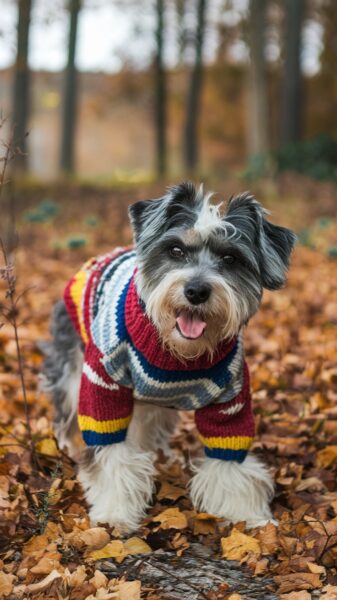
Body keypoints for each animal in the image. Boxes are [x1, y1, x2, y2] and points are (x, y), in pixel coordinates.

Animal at [41, 182, 294, 528]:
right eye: (176, 250)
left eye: (230, 258)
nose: (196, 291)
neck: (176, 353)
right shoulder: (102, 382)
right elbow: (111, 453)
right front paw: (116, 514)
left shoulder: (231, 400)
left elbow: (229, 458)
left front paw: (246, 517)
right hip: (72, 370)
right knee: (68, 414)